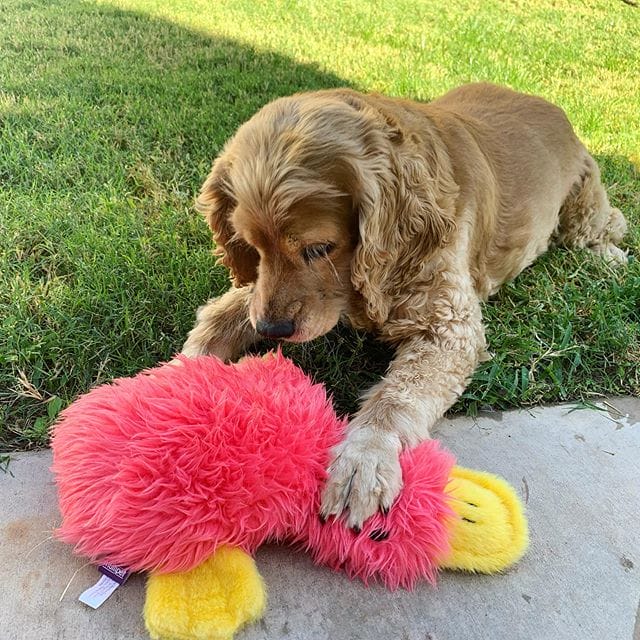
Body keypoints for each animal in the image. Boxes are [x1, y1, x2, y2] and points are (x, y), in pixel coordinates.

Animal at [181, 83, 627, 528]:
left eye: (320, 248)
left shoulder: (449, 326)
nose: (273, 330)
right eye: (251, 246)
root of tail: (547, 104)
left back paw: (609, 258)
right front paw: (178, 377)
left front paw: (363, 460)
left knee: (607, 225)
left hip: (583, 201)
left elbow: (396, 398)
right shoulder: (265, 294)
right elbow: (224, 314)